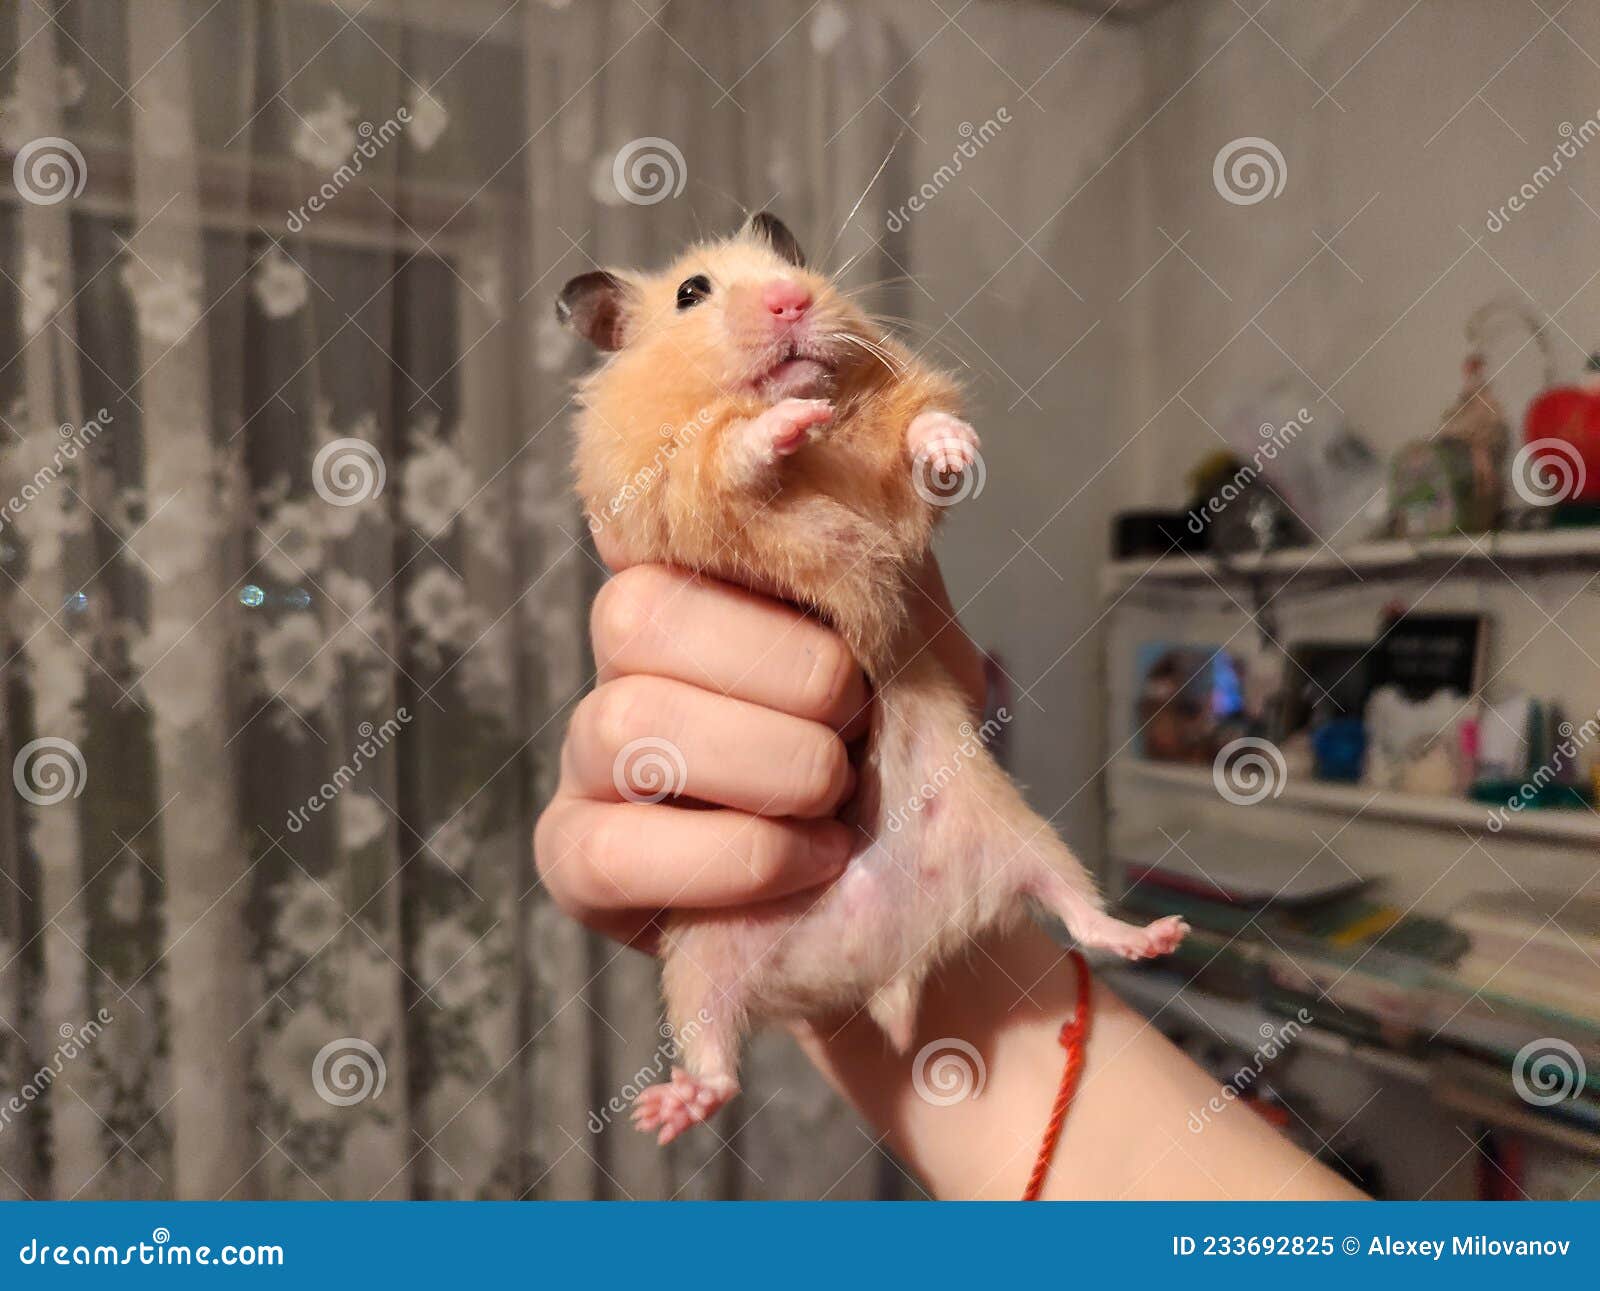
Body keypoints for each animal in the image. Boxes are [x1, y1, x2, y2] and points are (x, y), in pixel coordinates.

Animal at [558, 212, 1187, 1145]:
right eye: (691, 293)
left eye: (791, 266)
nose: (791, 298)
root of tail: (874, 966)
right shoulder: (665, 482)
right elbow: (728, 454)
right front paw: (785, 421)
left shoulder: (893, 440)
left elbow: (917, 433)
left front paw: (953, 446)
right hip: (699, 957)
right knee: (717, 1057)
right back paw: (666, 1109)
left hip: (1021, 835)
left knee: (1080, 911)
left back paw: (1157, 936)